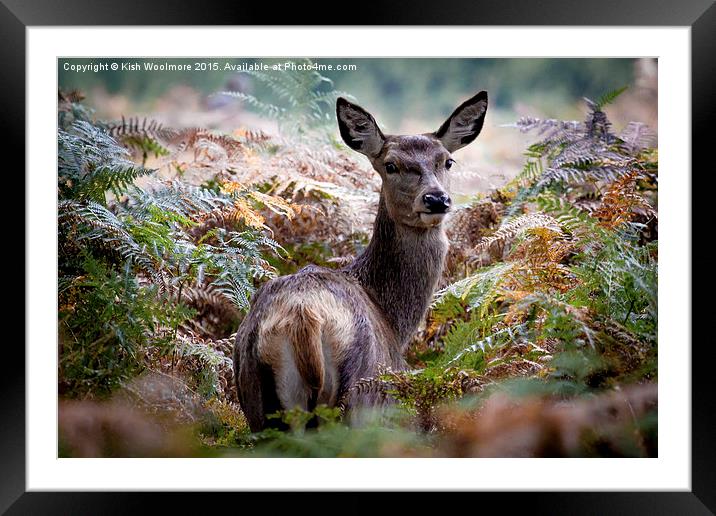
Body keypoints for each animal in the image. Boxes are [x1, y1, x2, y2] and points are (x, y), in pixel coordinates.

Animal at [232, 90, 490, 430]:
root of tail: (303, 318)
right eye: (391, 165)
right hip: (360, 391)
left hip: (258, 398)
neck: (394, 321)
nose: (436, 199)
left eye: (448, 161)